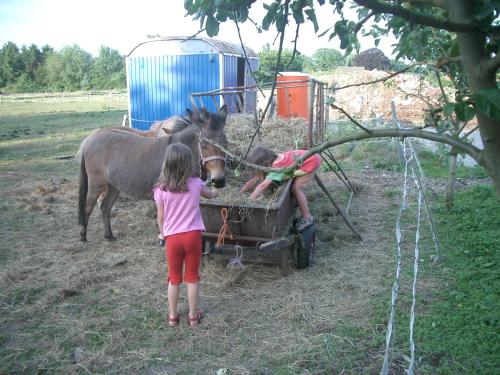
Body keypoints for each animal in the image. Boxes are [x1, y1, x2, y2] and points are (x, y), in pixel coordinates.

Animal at [78, 106, 229, 242]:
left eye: (225, 144)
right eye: (203, 145)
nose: (219, 181)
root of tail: (89, 139)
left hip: (113, 185)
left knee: (105, 207)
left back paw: (109, 236)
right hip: (96, 185)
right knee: (87, 208)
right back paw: (83, 236)